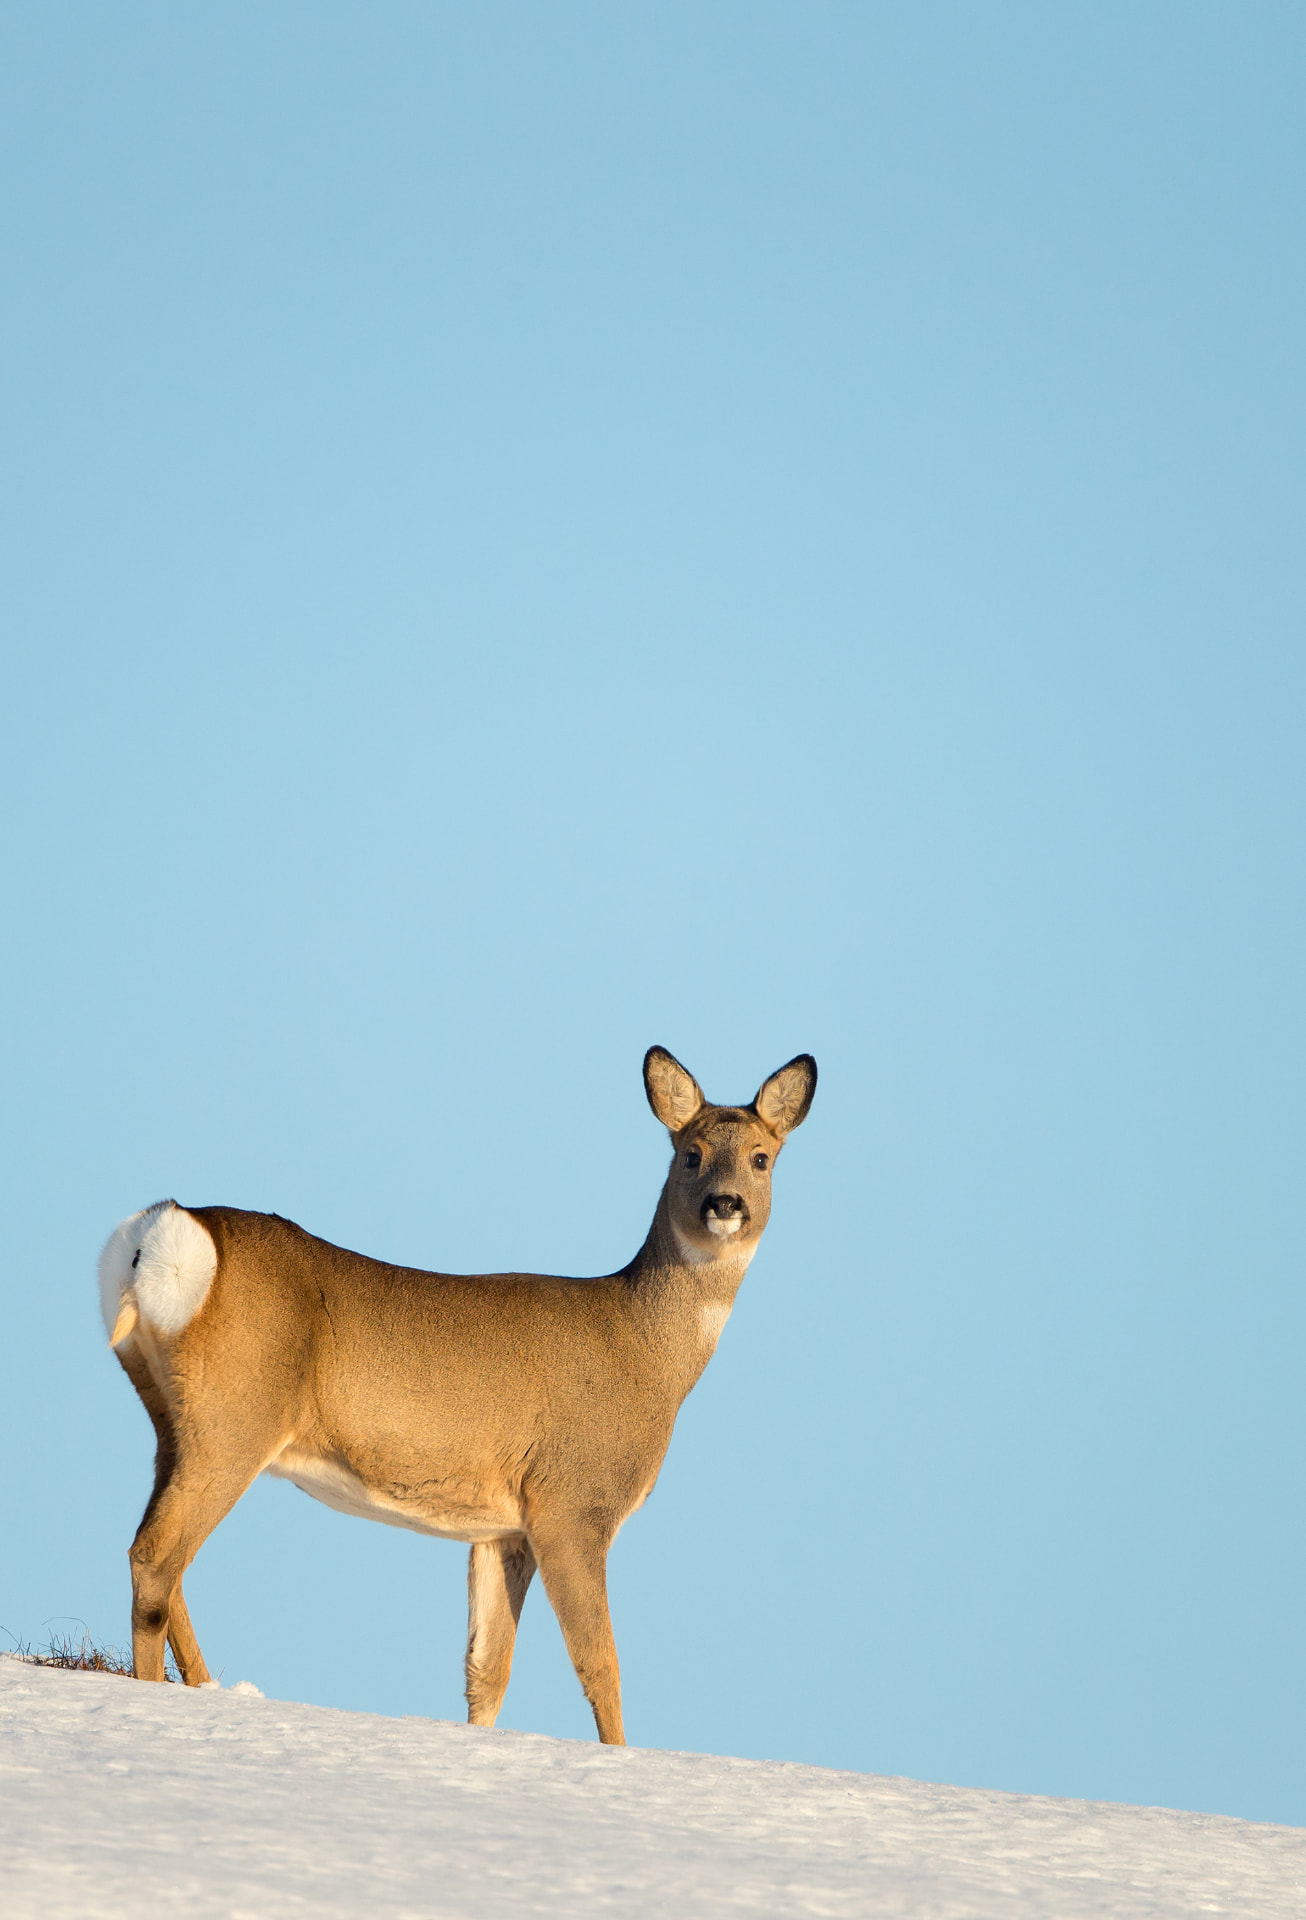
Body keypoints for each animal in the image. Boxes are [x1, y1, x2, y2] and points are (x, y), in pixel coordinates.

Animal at [98, 1046, 816, 1744]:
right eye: (690, 1153)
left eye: (761, 1157)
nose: (725, 1204)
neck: (642, 1351)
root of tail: (161, 1233)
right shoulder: (571, 1502)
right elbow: (600, 1663)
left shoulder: (502, 1528)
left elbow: (486, 1673)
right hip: (235, 1418)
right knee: (156, 1557)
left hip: (171, 1418)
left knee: (162, 1556)